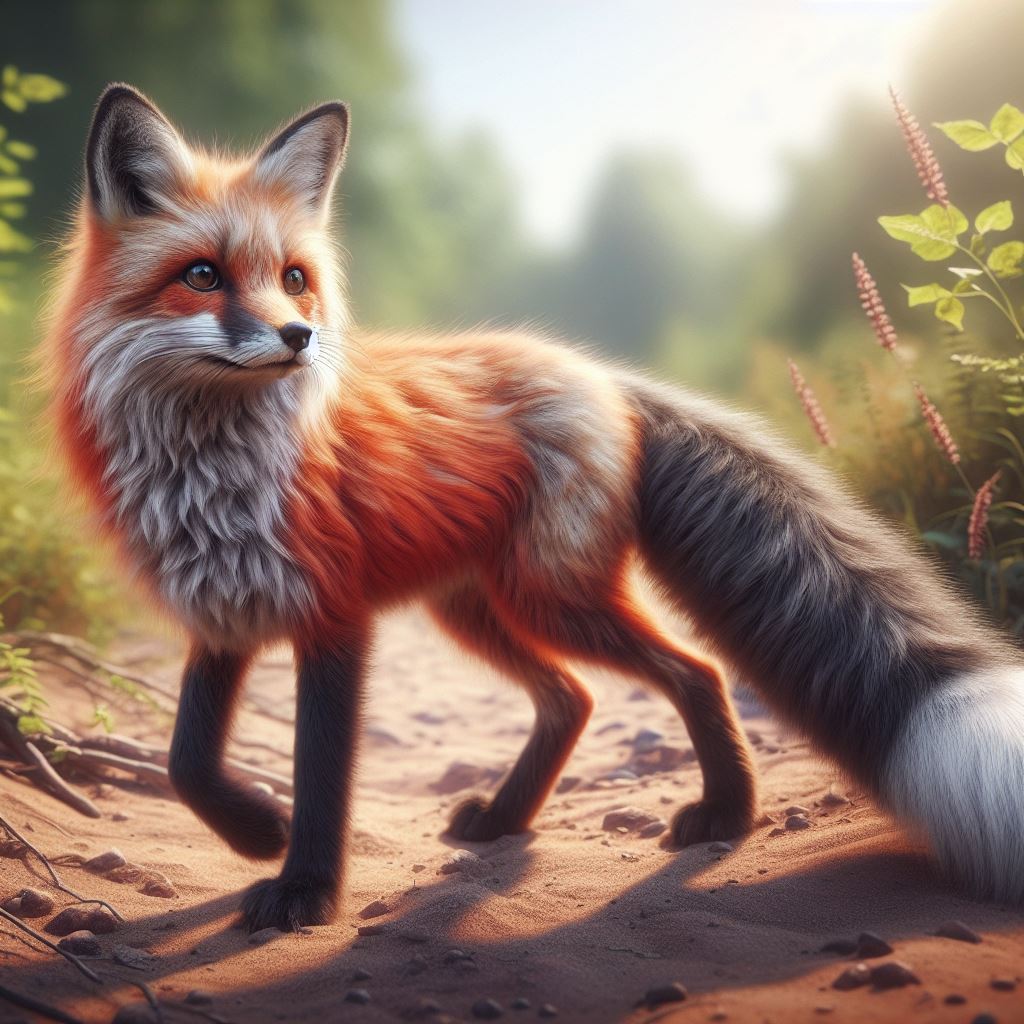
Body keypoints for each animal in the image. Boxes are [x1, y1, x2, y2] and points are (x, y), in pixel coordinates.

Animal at [43, 83, 1024, 932]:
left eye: (293, 278)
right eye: (203, 276)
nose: (299, 337)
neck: (211, 468)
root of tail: (602, 376)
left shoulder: (333, 617)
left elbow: (320, 773)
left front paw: (306, 891)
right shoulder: (224, 611)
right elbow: (186, 761)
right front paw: (256, 833)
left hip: (551, 597)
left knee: (693, 673)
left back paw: (726, 814)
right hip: (479, 608)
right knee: (572, 699)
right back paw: (510, 819)